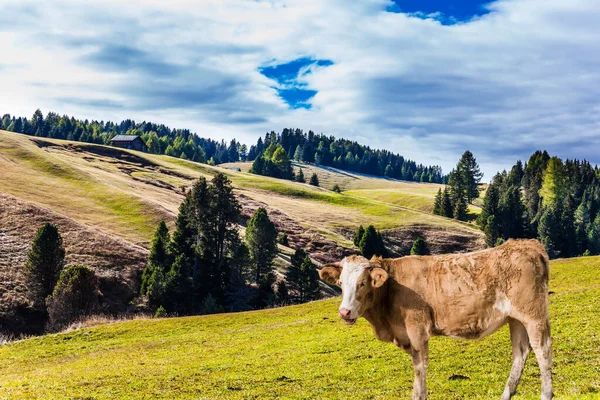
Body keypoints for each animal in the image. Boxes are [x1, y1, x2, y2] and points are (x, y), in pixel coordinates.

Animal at [318, 239, 552, 398]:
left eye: (362, 283)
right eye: (341, 283)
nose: (344, 312)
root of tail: (527, 244)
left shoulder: (417, 328)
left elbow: (419, 368)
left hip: (533, 314)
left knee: (542, 349)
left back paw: (546, 394)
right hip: (516, 319)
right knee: (521, 352)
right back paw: (506, 394)